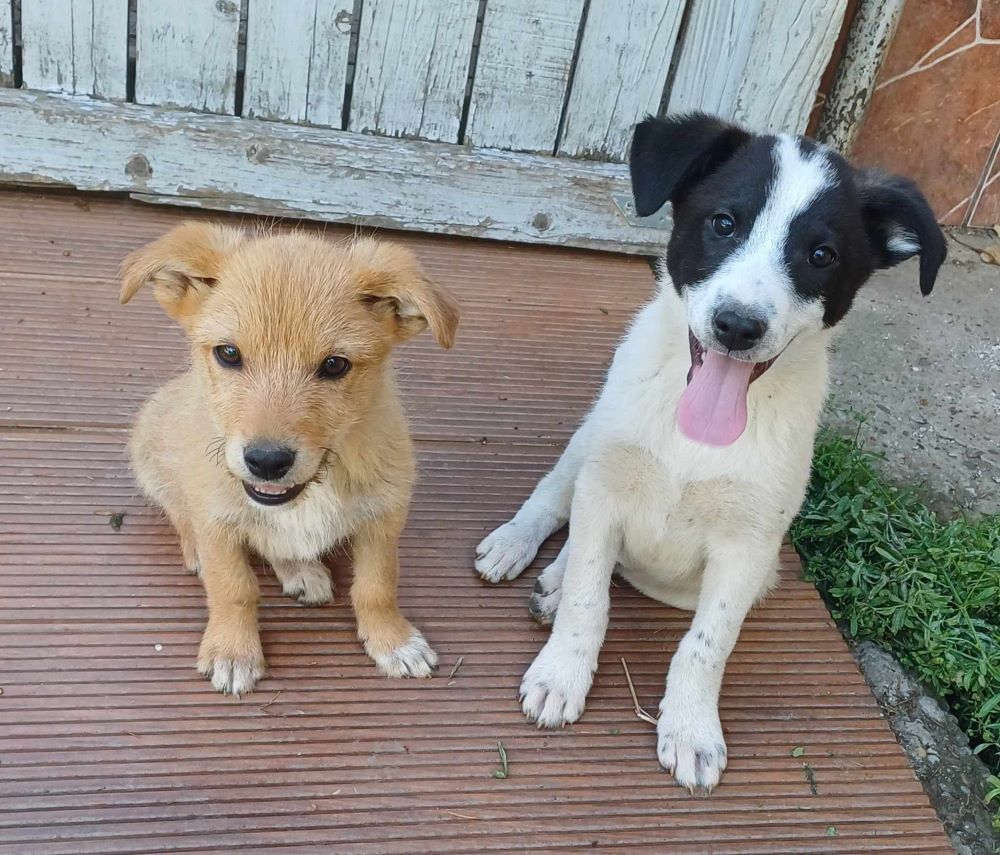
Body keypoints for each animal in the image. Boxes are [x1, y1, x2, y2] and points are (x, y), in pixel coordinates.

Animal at [121, 221, 460, 696]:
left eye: (335, 365)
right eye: (228, 353)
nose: (266, 461)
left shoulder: (384, 517)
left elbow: (377, 586)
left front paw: (393, 640)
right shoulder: (217, 520)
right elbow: (233, 588)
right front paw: (232, 651)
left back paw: (300, 569)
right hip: (151, 454)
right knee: (179, 512)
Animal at [476, 113, 944, 796]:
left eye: (821, 255)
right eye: (724, 223)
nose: (738, 326)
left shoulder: (747, 549)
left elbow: (705, 643)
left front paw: (692, 729)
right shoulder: (608, 483)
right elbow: (591, 597)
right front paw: (562, 674)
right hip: (589, 445)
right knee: (557, 503)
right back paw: (518, 547)